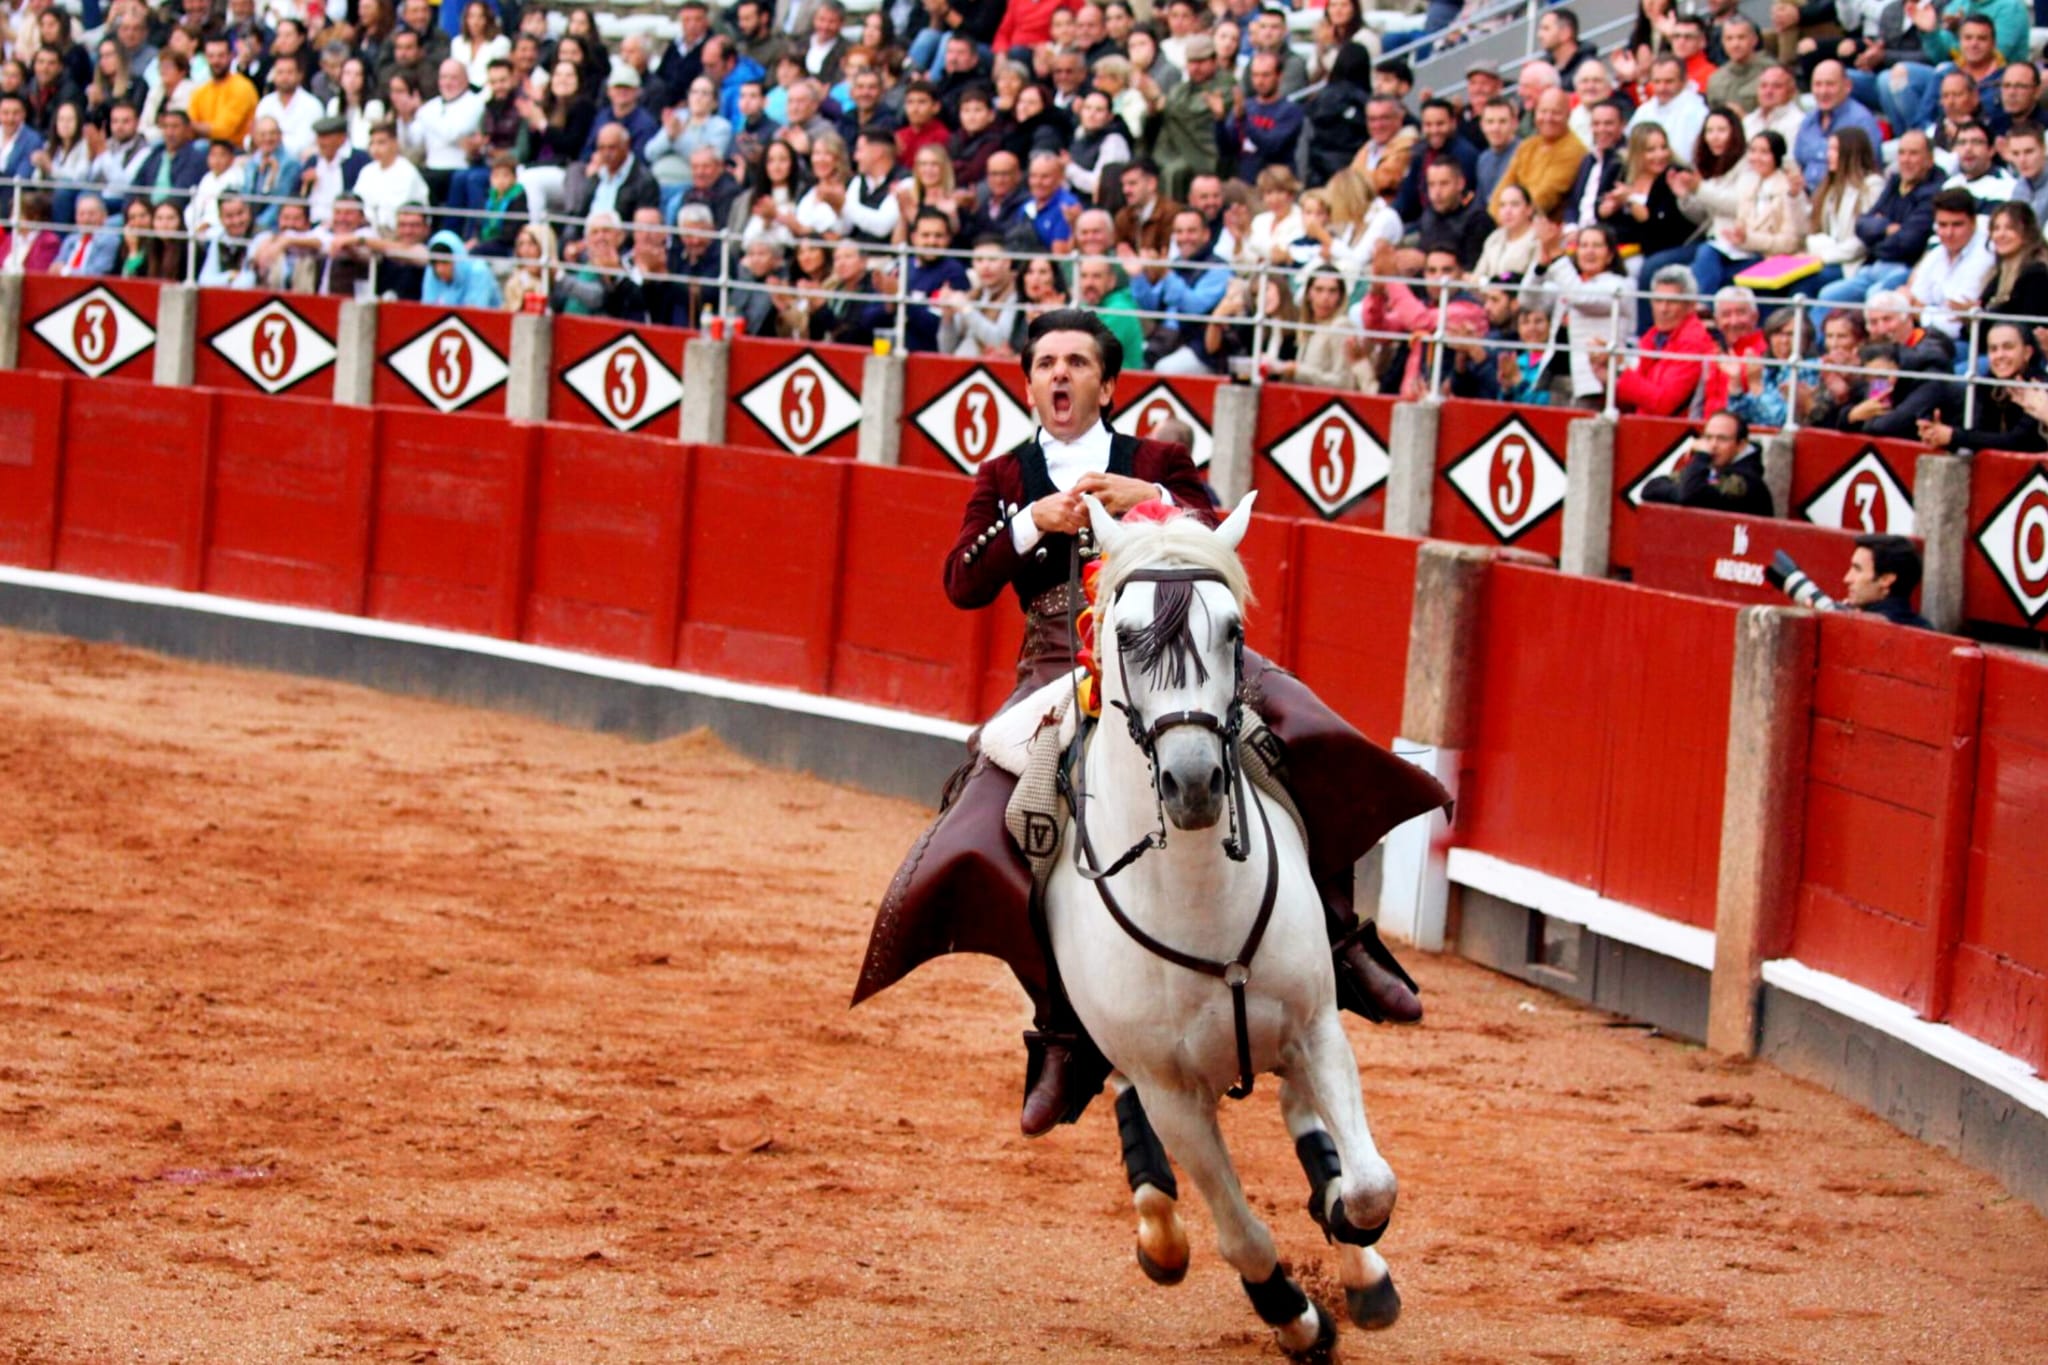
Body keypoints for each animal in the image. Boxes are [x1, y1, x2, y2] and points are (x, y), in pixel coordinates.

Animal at [1048, 493, 1400, 1358]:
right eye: (1124, 635)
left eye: (1232, 630)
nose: (1196, 782)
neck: (1198, 893)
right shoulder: (1170, 1089)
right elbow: (1242, 1236)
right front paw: (1300, 1320)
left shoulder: (1316, 1023)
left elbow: (1369, 1187)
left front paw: (1348, 1233)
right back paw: (1161, 1230)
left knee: (1305, 1114)